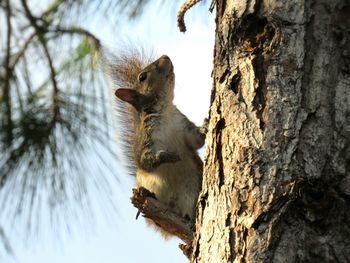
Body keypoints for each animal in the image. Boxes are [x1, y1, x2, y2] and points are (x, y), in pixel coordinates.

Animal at [105, 50, 206, 235]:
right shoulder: (144, 141)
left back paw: (189, 219)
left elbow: (197, 141)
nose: (165, 56)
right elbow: (145, 160)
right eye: (142, 76)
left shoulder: (184, 127)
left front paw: (206, 125)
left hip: (192, 187)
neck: (164, 110)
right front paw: (167, 156)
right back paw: (147, 196)